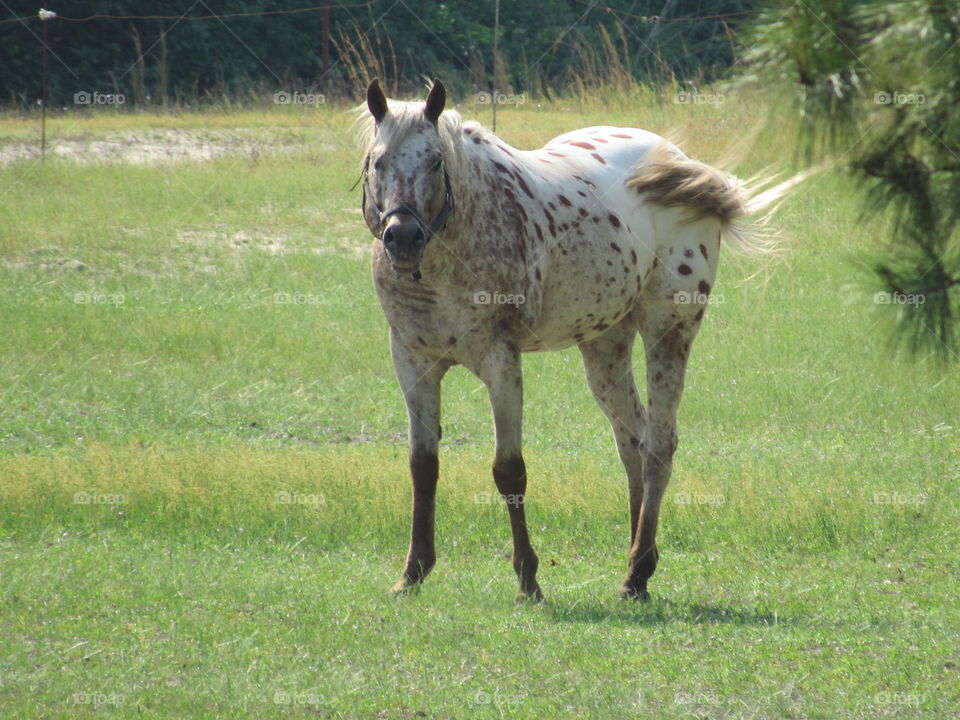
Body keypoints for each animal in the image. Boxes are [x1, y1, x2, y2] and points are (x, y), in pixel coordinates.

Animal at [357, 78, 804, 602]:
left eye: (433, 161)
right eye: (377, 161)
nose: (402, 237)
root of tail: (676, 159)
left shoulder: (500, 361)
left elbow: (508, 470)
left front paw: (528, 579)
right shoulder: (412, 360)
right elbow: (422, 465)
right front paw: (413, 573)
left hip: (669, 330)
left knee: (660, 443)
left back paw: (635, 571)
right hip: (606, 347)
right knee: (633, 440)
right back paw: (639, 564)